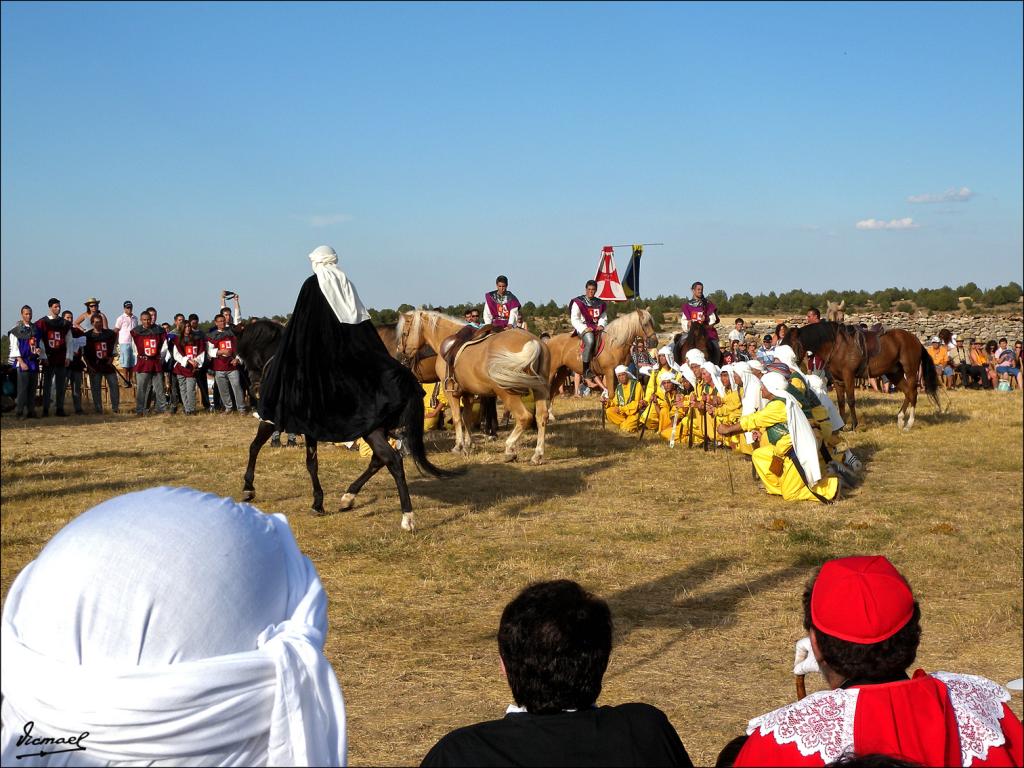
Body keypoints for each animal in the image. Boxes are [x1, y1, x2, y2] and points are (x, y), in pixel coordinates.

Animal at [237, 317, 454, 528]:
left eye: (244, 356)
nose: (255, 389)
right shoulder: (309, 429)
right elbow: (311, 462)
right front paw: (318, 502)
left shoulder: (271, 420)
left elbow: (255, 447)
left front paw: (249, 488)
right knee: (378, 460)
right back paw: (348, 497)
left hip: (373, 431)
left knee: (392, 460)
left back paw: (407, 517)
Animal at [393, 309, 552, 466]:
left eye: (404, 333)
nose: (400, 352)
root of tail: (533, 342)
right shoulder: (467, 393)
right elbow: (467, 418)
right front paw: (469, 444)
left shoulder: (450, 392)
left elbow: (457, 418)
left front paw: (459, 446)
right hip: (540, 389)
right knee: (541, 417)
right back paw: (537, 455)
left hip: (507, 393)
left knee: (524, 417)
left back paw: (509, 449)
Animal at [786, 323, 937, 434]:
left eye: (791, 345)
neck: (838, 346)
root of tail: (916, 340)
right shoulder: (837, 380)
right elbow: (841, 402)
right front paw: (842, 426)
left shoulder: (849, 376)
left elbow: (851, 400)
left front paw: (854, 425)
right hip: (894, 373)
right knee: (907, 393)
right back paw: (900, 419)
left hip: (910, 371)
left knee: (913, 393)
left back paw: (909, 424)